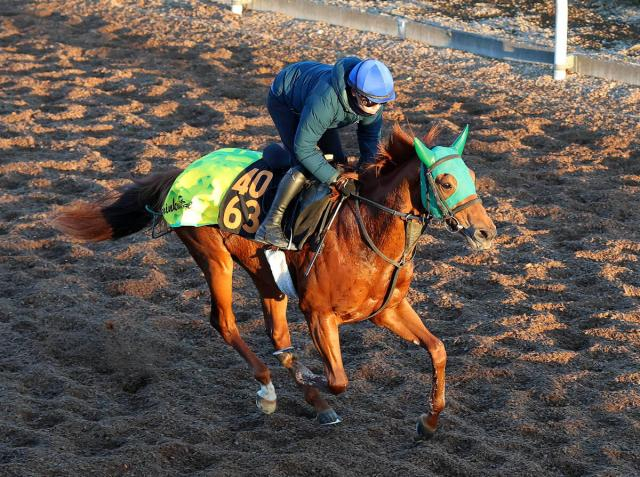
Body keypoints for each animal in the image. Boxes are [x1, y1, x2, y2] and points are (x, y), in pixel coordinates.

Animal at [52, 123, 496, 438]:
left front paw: (429, 422)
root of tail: (184, 172)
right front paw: (311, 377)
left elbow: (437, 350)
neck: (364, 229)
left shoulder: (386, 310)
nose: (486, 232)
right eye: (445, 182)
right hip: (214, 257)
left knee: (276, 334)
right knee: (225, 323)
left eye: (472, 176)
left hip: (263, 274)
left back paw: (311, 400)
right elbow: (338, 379)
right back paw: (268, 390)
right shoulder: (319, 314)